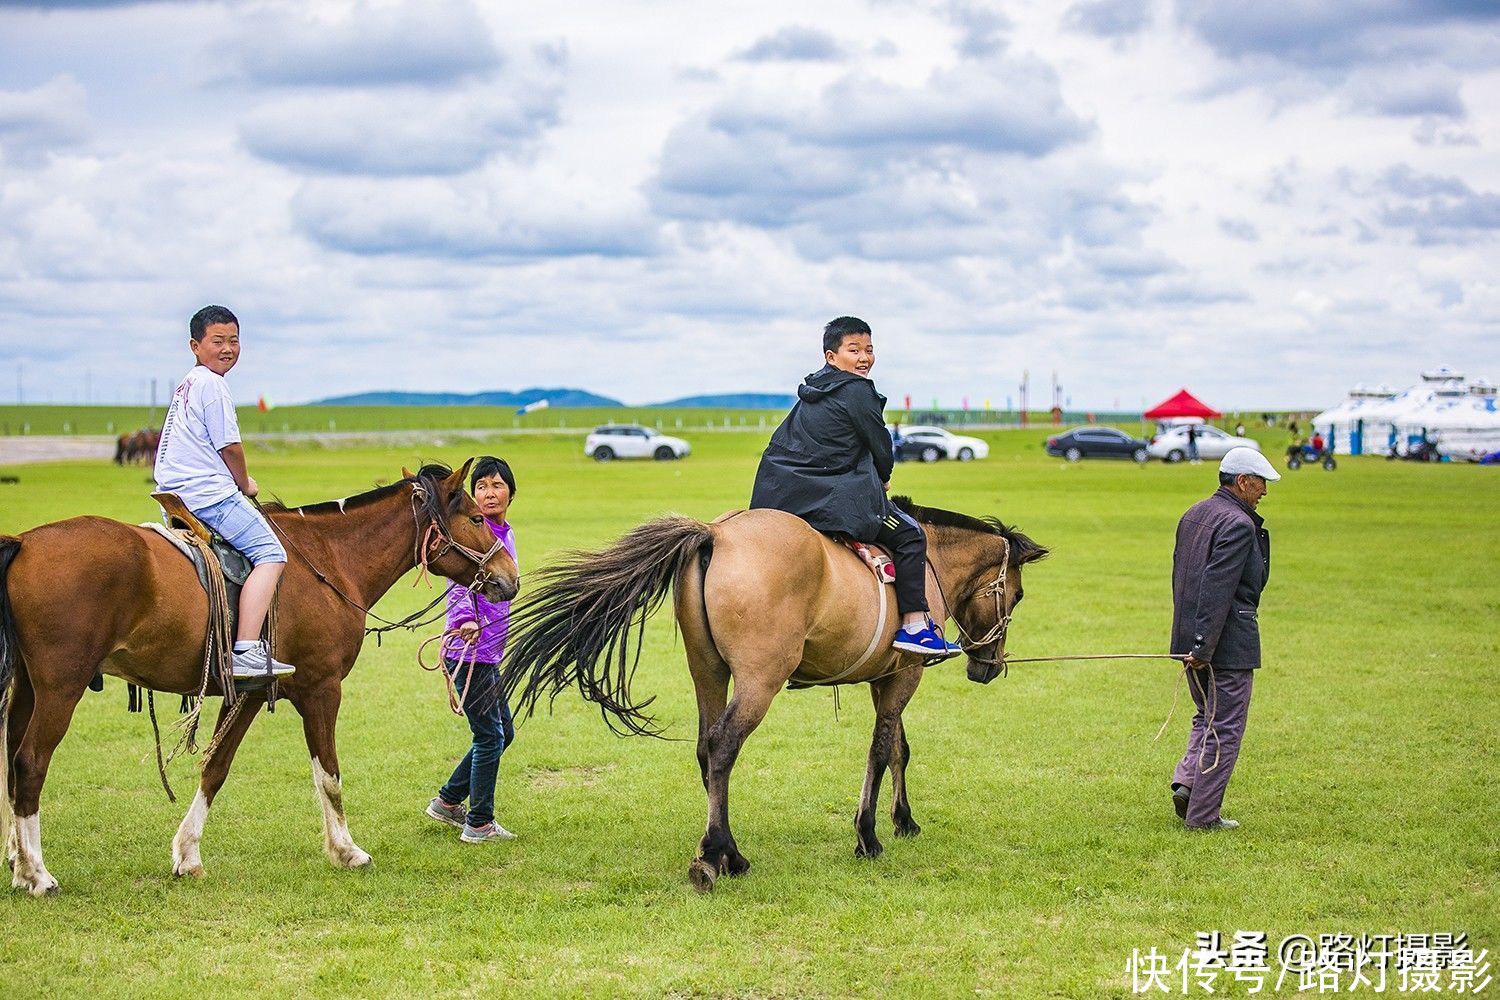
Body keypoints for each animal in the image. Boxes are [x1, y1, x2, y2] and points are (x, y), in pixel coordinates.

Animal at [0, 464, 519, 899]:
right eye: (477, 517)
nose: (510, 577)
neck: (329, 560)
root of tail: (25, 541)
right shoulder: (322, 689)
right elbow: (328, 773)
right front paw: (346, 850)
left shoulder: (247, 696)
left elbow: (216, 767)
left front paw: (187, 854)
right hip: (60, 689)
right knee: (30, 763)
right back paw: (37, 874)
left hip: (27, 688)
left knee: (10, 763)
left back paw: (18, 862)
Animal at [498, 497, 1050, 893]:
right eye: (1018, 594)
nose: (988, 667)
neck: (931, 560)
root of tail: (716, 533)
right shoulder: (905, 675)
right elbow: (880, 750)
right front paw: (868, 835)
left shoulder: (888, 677)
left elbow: (898, 748)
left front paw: (904, 821)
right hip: (759, 680)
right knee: (723, 746)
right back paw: (715, 856)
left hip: (707, 672)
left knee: (706, 749)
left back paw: (728, 852)